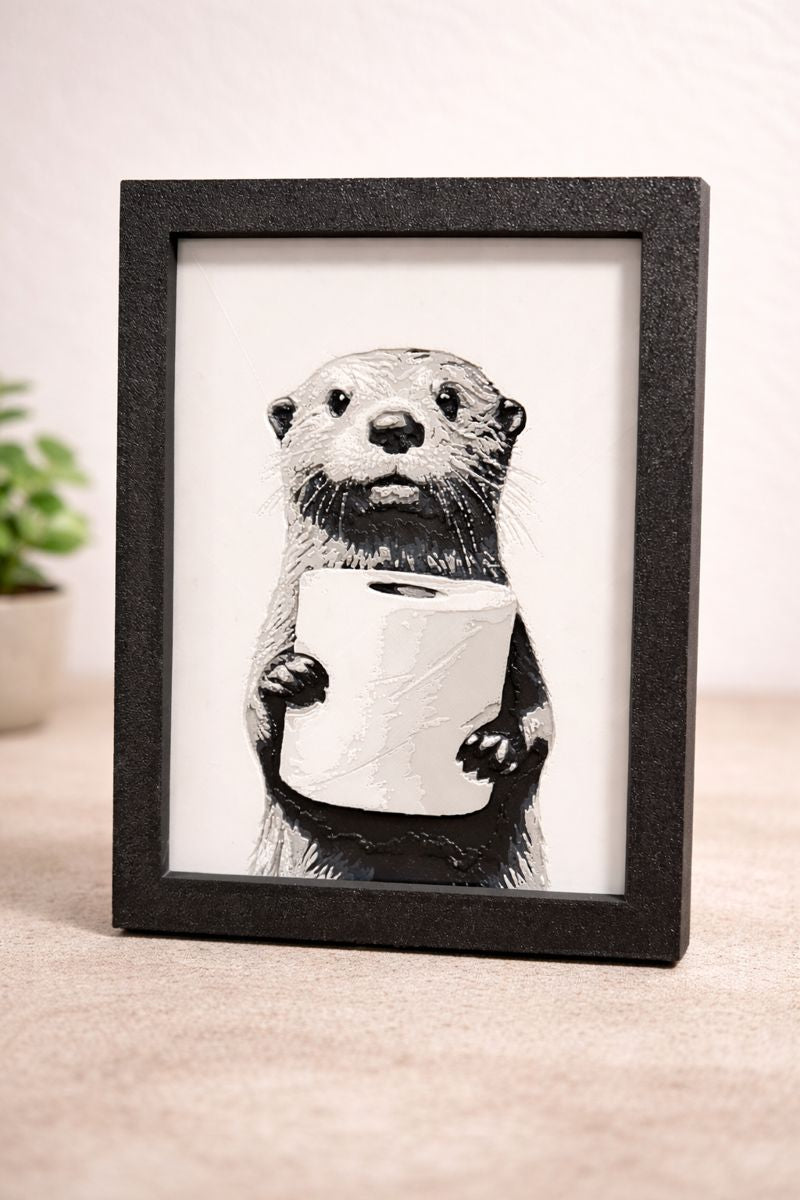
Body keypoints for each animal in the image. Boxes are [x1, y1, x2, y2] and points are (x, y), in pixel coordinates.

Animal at [246, 349, 553, 888]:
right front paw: (287, 676)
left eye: (449, 398)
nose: (394, 425)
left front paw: (497, 746)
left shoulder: (518, 644)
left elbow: (544, 725)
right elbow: (253, 724)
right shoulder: (279, 623)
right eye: (338, 399)